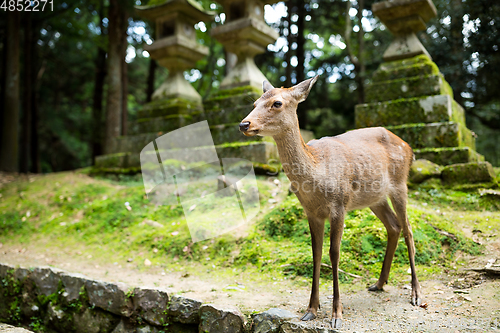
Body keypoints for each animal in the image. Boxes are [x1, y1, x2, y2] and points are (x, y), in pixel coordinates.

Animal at [238, 76, 422, 328]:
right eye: (255, 102)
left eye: (277, 103)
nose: (244, 124)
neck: (317, 174)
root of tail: (409, 147)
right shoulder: (311, 212)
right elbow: (315, 253)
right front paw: (311, 310)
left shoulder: (339, 205)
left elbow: (334, 253)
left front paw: (336, 314)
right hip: (374, 198)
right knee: (394, 226)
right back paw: (378, 283)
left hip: (400, 184)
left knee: (408, 229)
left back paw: (416, 294)